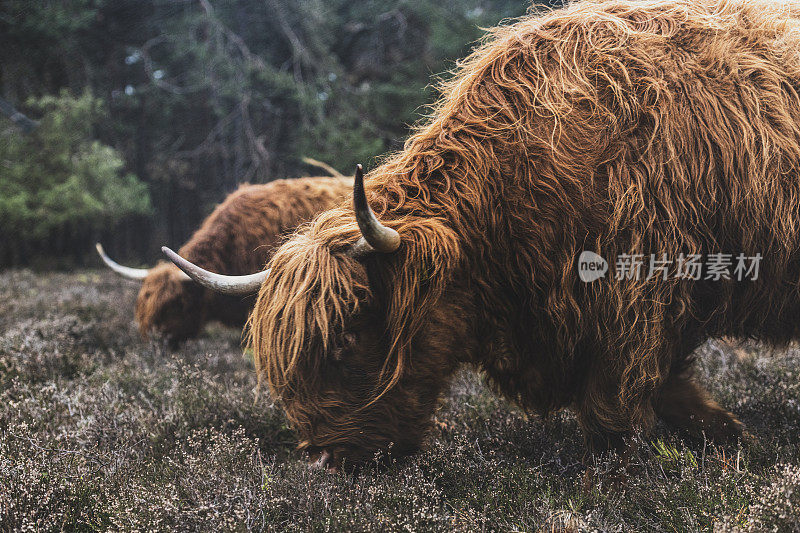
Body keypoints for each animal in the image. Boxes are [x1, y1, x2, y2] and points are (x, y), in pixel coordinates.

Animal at [166, 0, 800, 466]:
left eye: (345, 339)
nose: (324, 460)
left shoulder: (634, 298)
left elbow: (617, 406)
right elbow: (670, 393)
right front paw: (730, 434)